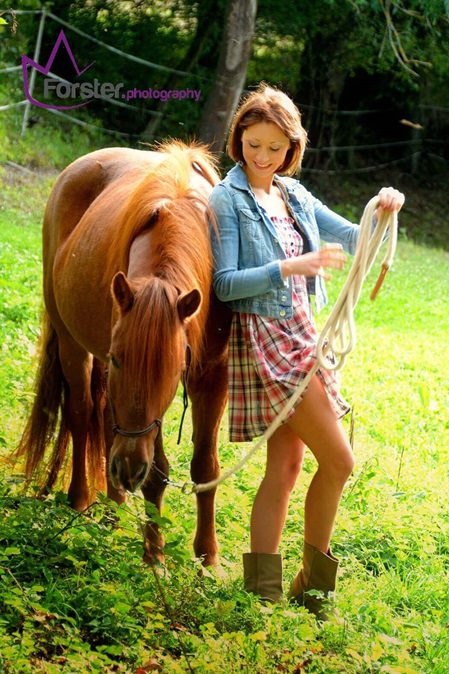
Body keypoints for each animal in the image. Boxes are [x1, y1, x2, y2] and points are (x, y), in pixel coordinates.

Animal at [14, 142, 231, 568]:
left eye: (175, 369)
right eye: (118, 358)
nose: (127, 468)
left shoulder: (212, 374)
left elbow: (205, 468)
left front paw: (207, 559)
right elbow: (157, 472)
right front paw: (154, 555)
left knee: (104, 422)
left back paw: (112, 514)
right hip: (73, 346)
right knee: (82, 415)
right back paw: (82, 499)